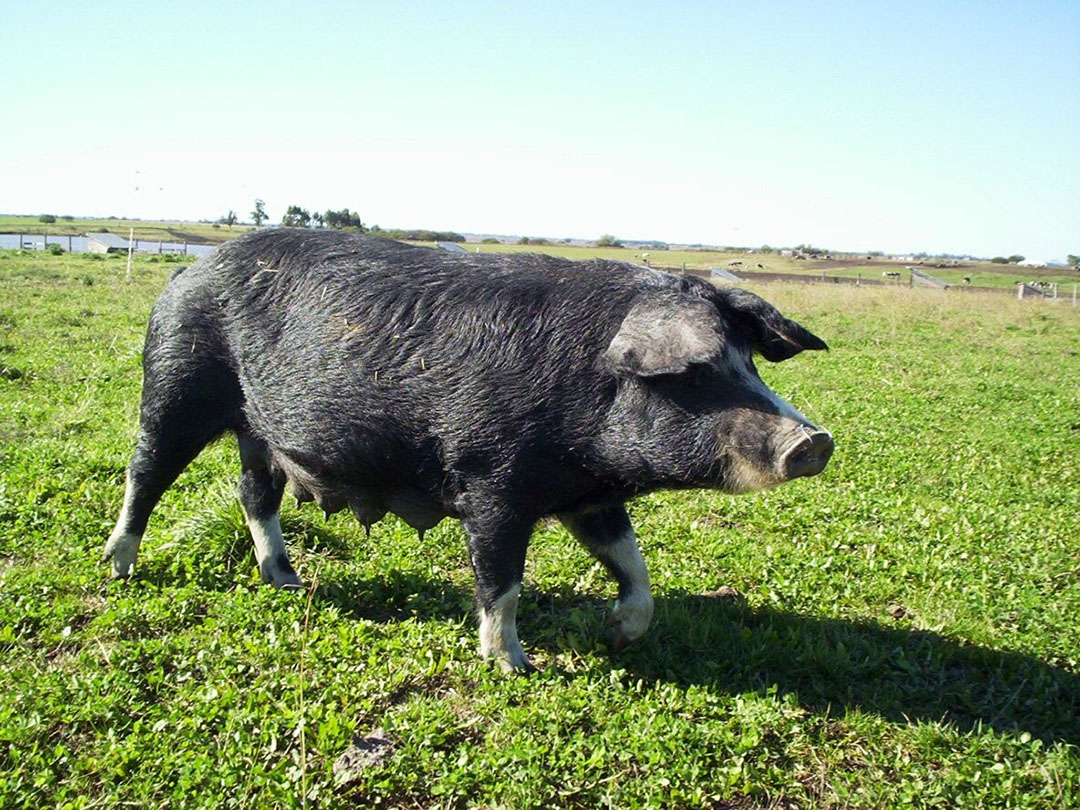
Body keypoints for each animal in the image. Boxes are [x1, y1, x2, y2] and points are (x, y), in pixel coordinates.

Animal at [103, 226, 833, 673]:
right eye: (698, 373)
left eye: (749, 363)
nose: (814, 440)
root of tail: (184, 271)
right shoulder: (491, 480)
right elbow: (500, 579)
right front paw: (514, 664)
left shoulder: (589, 495)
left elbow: (634, 566)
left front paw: (619, 634)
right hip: (176, 383)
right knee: (145, 472)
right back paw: (118, 570)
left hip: (260, 432)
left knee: (253, 492)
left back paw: (287, 580)